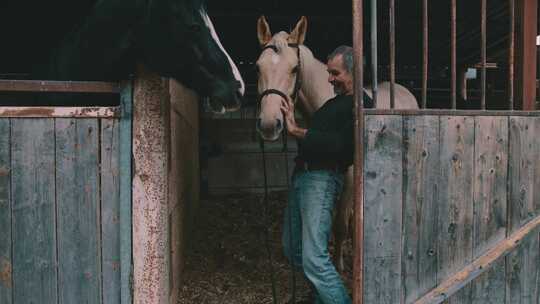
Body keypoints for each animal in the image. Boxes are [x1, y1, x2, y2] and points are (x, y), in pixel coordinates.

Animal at [255, 14, 420, 270]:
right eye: (258, 66)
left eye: (294, 68)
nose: (269, 125)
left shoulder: (350, 179)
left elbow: (341, 224)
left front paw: (341, 264)